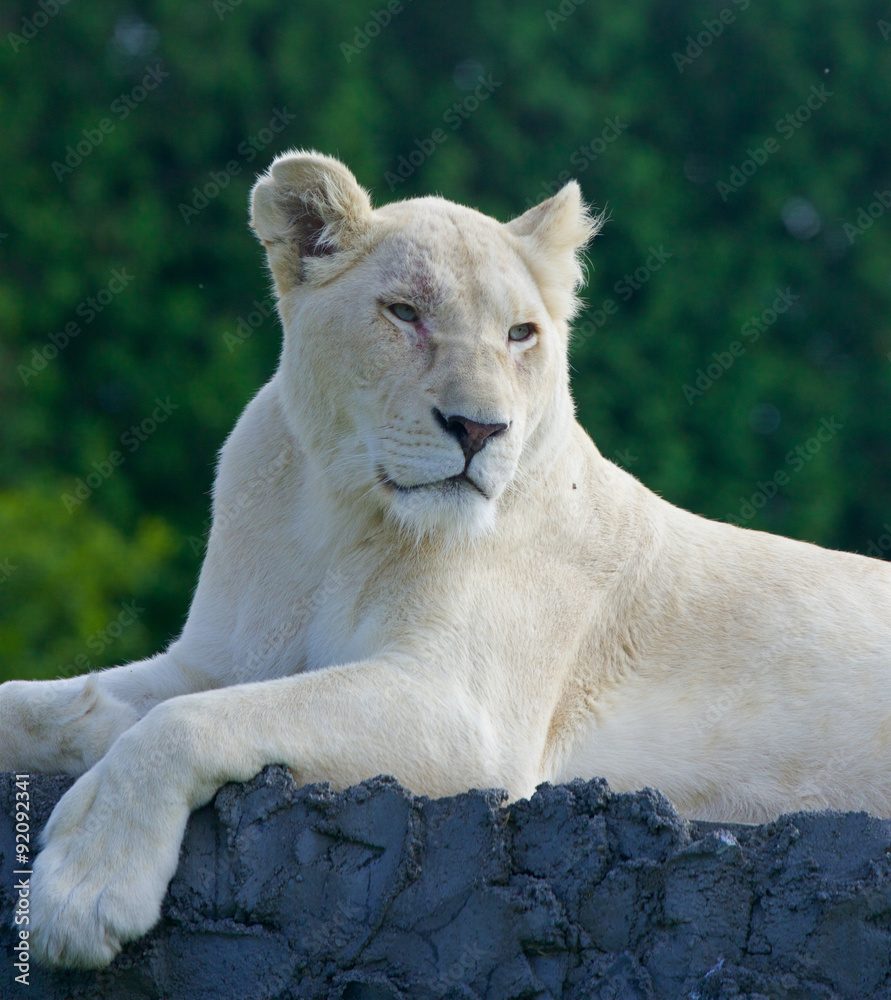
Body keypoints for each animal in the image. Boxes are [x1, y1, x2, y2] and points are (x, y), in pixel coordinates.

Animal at [3, 150, 890, 969]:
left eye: (520, 333)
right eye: (403, 313)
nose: (478, 428)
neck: (339, 517)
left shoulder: (466, 715)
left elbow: (184, 723)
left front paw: (84, 891)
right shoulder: (214, 659)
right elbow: (61, 705)